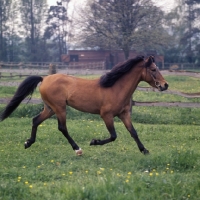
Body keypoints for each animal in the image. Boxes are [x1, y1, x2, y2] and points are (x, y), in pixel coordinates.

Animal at [0, 55, 169, 155]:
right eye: (153, 69)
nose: (165, 85)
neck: (116, 87)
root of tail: (44, 78)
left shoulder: (124, 114)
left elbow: (133, 132)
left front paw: (144, 150)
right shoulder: (106, 116)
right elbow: (113, 136)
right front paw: (94, 142)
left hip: (50, 108)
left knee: (35, 120)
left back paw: (28, 143)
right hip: (60, 108)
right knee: (62, 127)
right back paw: (77, 149)